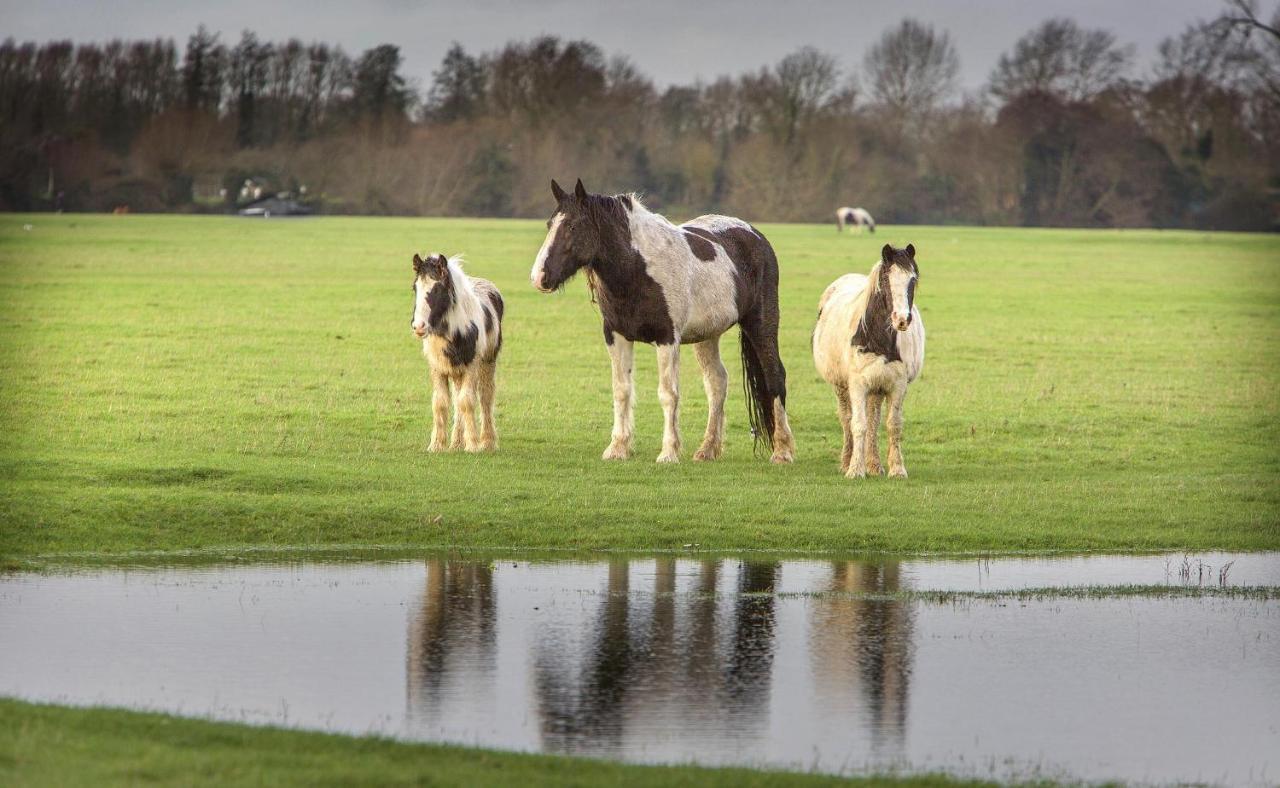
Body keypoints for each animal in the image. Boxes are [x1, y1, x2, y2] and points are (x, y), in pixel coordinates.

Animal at [414, 252, 504, 450]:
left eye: (437, 289)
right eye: (414, 287)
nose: (419, 326)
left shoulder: (471, 365)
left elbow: (467, 401)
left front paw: (473, 445)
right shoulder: (437, 367)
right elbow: (440, 402)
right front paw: (437, 445)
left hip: (488, 362)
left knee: (485, 396)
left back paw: (487, 441)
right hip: (456, 371)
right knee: (456, 398)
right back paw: (456, 443)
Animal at [527, 179, 788, 460]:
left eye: (573, 226)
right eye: (550, 225)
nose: (539, 277)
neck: (637, 269)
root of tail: (755, 236)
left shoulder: (667, 338)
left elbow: (667, 394)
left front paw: (669, 452)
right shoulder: (616, 336)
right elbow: (622, 390)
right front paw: (617, 448)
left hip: (761, 324)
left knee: (775, 377)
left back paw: (782, 451)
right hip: (707, 336)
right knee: (717, 383)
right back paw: (707, 450)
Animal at [814, 244, 926, 480]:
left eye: (912, 280)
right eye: (885, 279)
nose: (902, 319)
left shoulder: (897, 385)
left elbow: (892, 425)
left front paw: (897, 468)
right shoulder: (857, 385)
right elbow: (858, 424)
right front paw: (855, 469)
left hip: (877, 388)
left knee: (874, 421)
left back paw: (874, 464)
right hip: (842, 386)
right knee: (847, 419)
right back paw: (847, 461)